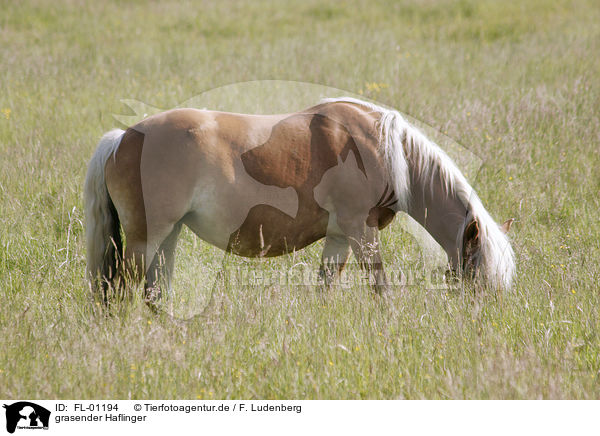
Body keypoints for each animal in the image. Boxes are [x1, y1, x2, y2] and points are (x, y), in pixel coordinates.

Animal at [84, 96, 516, 306]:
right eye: (480, 275)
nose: (484, 319)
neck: (382, 147)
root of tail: (122, 138)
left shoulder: (340, 237)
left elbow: (326, 286)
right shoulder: (361, 231)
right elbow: (380, 285)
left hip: (167, 236)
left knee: (153, 293)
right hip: (145, 239)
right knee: (123, 290)